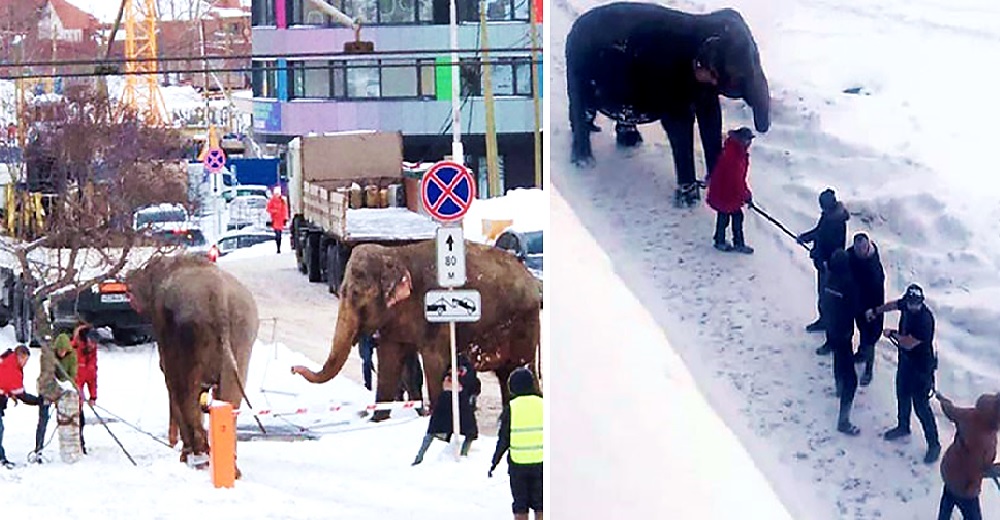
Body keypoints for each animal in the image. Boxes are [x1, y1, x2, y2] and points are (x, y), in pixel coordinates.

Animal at [125, 254, 260, 474]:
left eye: (146, 267)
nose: (127, 274)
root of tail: (219, 299)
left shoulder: (164, 327)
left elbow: (169, 378)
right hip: (243, 333)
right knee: (229, 398)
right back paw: (229, 467)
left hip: (191, 333)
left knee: (185, 388)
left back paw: (198, 458)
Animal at [290, 240, 540, 418]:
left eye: (356, 295)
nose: (292, 369)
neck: (396, 254)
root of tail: (533, 281)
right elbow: (389, 360)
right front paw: (378, 420)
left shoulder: (433, 316)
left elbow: (434, 362)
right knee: (507, 375)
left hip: (523, 325)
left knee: (520, 369)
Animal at [568, 4, 768, 207]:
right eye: (741, 76)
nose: (750, 132)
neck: (703, 23)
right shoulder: (670, 81)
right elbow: (679, 127)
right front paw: (688, 202)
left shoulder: (704, 89)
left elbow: (711, 118)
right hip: (578, 68)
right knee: (582, 108)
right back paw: (584, 162)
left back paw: (626, 140)